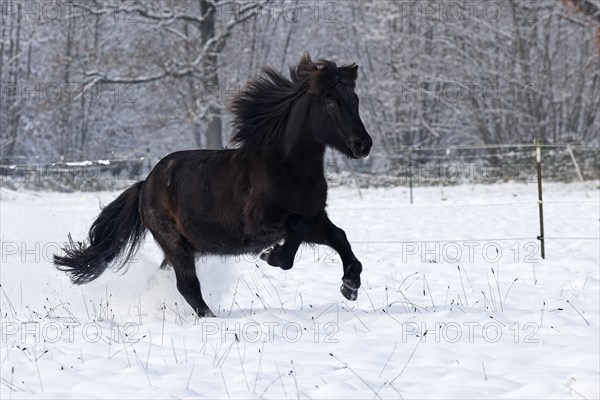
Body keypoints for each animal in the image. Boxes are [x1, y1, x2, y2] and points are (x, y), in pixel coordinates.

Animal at [57, 54, 376, 316]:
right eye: (332, 102)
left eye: (356, 100)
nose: (363, 145)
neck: (287, 168)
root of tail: (145, 184)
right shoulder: (262, 224)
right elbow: (294, 232)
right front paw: (271, 255)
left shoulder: (315, 218)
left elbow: (339, 237)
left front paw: (350, 286)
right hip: (174, 243)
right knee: (188, 286)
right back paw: (210, 318)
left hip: (186, 247)